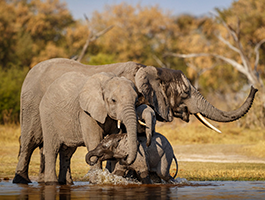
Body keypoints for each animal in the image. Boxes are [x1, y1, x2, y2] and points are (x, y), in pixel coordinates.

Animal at [13, 57, 256, 184]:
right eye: (186, 92)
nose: (254, 87)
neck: (149, 69)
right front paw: (103, 179)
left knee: (60, 149)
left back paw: (60, 183)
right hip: (31, 104)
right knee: (29, 142)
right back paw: (22, 181)